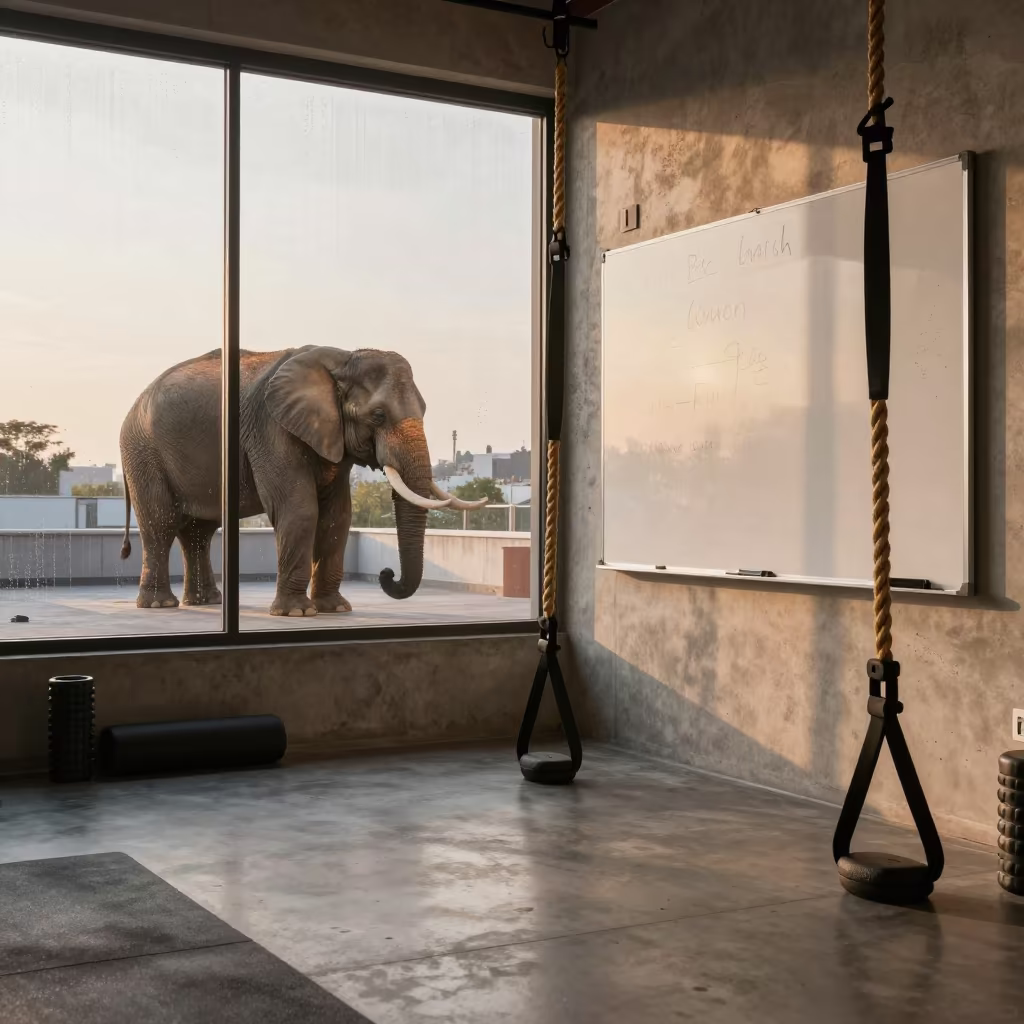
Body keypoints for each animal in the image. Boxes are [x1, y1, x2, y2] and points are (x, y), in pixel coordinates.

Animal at [118, 345, 485, 616]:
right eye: (378, 416)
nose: (386, 574)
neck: (341, 359)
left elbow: (338, 516)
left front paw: (335, 609)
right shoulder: (271, 428)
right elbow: (300, 508)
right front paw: (298, 613)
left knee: (199, 531)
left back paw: (207, 602)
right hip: (143, 451)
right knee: (161, 524)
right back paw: (159, 605)